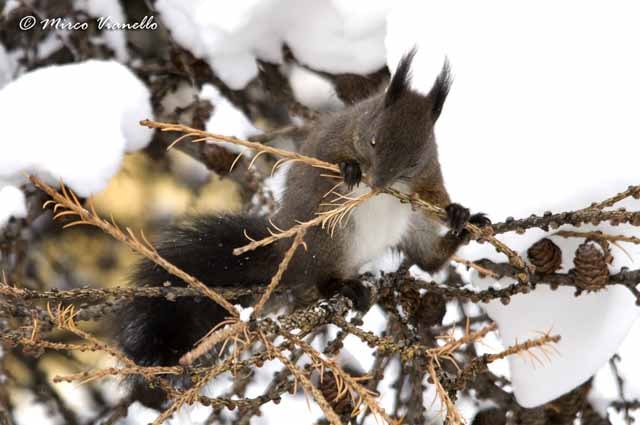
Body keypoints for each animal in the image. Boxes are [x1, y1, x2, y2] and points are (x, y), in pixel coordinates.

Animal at [116, 50, 489, 401]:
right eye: (373, 140)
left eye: (413, 159)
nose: (378, 184)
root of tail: (289, 255)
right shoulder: (331, 142)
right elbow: (327, 164)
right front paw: (349, 169)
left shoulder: (428, 175)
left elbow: (435, 197)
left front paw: (457, 211)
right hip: (329, 236)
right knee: (322, 278)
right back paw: (344, 287)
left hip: (411, 228)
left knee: (430, 261)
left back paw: (461, 231)